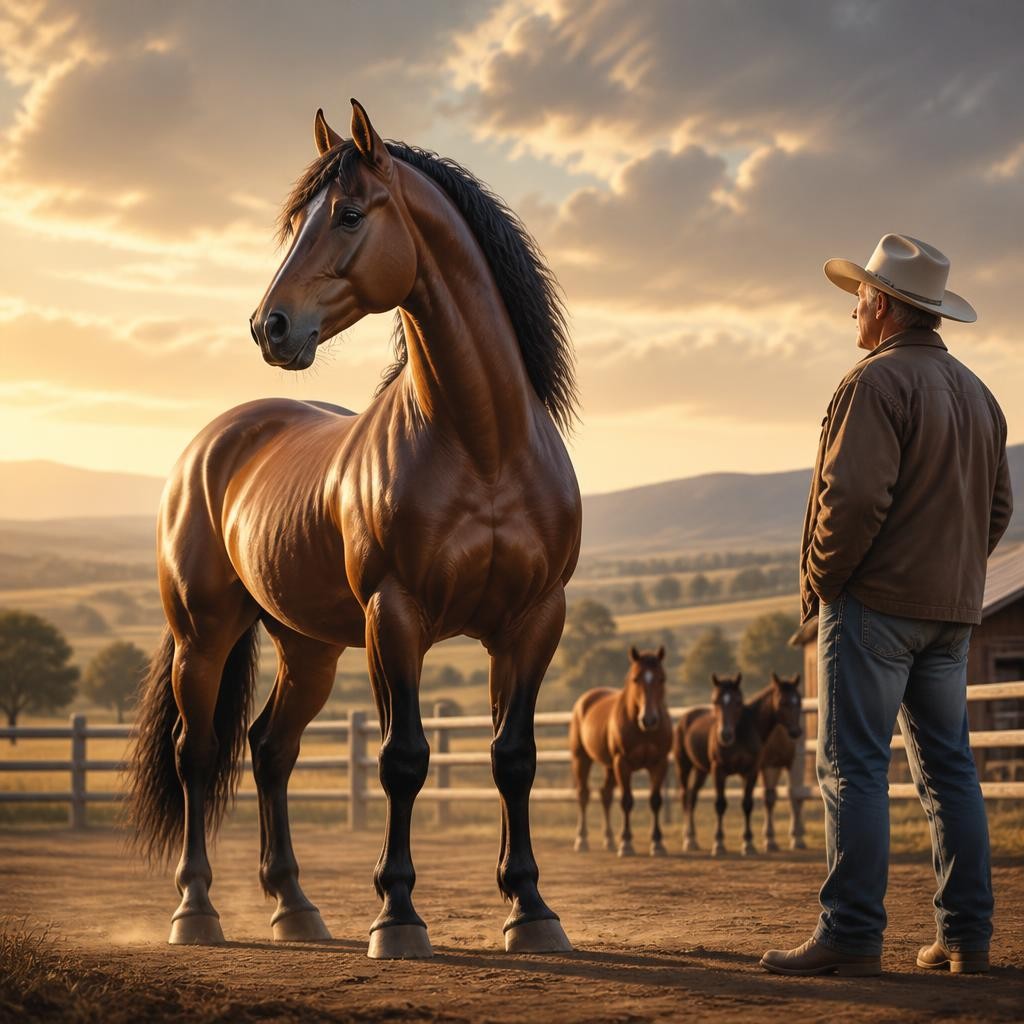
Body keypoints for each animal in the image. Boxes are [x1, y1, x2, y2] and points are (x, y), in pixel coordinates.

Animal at [127, 99, 581, 960]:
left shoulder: (532, 622)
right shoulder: (393, 617)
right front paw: (397, 915)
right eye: (296, 220)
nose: (269, 327)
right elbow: (403, 758)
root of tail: (215, 442)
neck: (484, 446)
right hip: (205, 637)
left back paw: (294, 907)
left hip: (307, 649)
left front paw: (532, 909)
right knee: (197, 756)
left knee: (271, 750)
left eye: (346, 214)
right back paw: (195, 911)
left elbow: (515, 758)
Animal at [569, 646, 672, 857]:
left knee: (605, 794)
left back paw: (609, 840)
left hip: (609, 766)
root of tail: (585, 700)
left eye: (661, 678)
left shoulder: (660, 763)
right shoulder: (622, 763)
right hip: (582, 759)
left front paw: (657, 843)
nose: (649, 719)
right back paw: (582, 839)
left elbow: (655, 800)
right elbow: (626, 800)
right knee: (583, 794)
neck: (643, 730)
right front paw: (626, 843)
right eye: (635, 678)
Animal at [674, 673, 802, 855]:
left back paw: (693, 840)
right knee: (685, 796)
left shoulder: (751, 771)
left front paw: (748, 843)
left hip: (701, 770)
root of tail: (686, 716)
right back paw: (688, 840)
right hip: (684, 766)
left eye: (798, 700)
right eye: (715, 700)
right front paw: (719, 843)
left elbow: (747, 804)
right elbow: (720, 804)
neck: (742, 732)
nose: (725, 735)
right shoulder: (719, 771)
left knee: (693, 797)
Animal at [758, 673, 808, 851]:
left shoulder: (793, 764)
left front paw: (797, 838)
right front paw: (769, 839)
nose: (796, 732)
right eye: (781, 702)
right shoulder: (767, 766)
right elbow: (769, 798)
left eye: (799, 700)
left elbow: (794, 795)